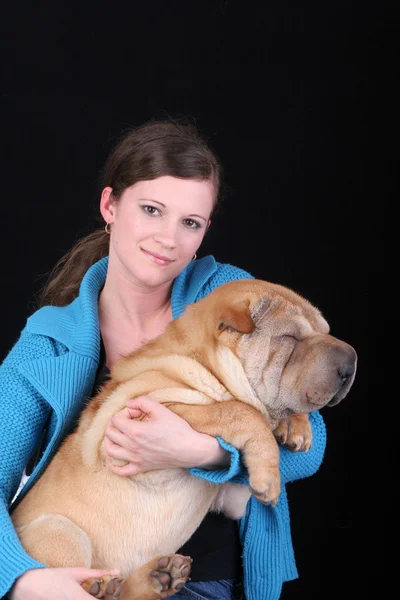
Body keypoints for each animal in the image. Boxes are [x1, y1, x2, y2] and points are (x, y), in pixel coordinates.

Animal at [11, 278, 356, 596]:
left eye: (325, 330)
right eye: (289, 338)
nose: (352, 361)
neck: (203, 364)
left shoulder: (231, 497)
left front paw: (295, 427)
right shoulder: (136, 420)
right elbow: (239, 411)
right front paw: (270, 476)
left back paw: (158, 577)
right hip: (58, 529)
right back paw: (103, 584)